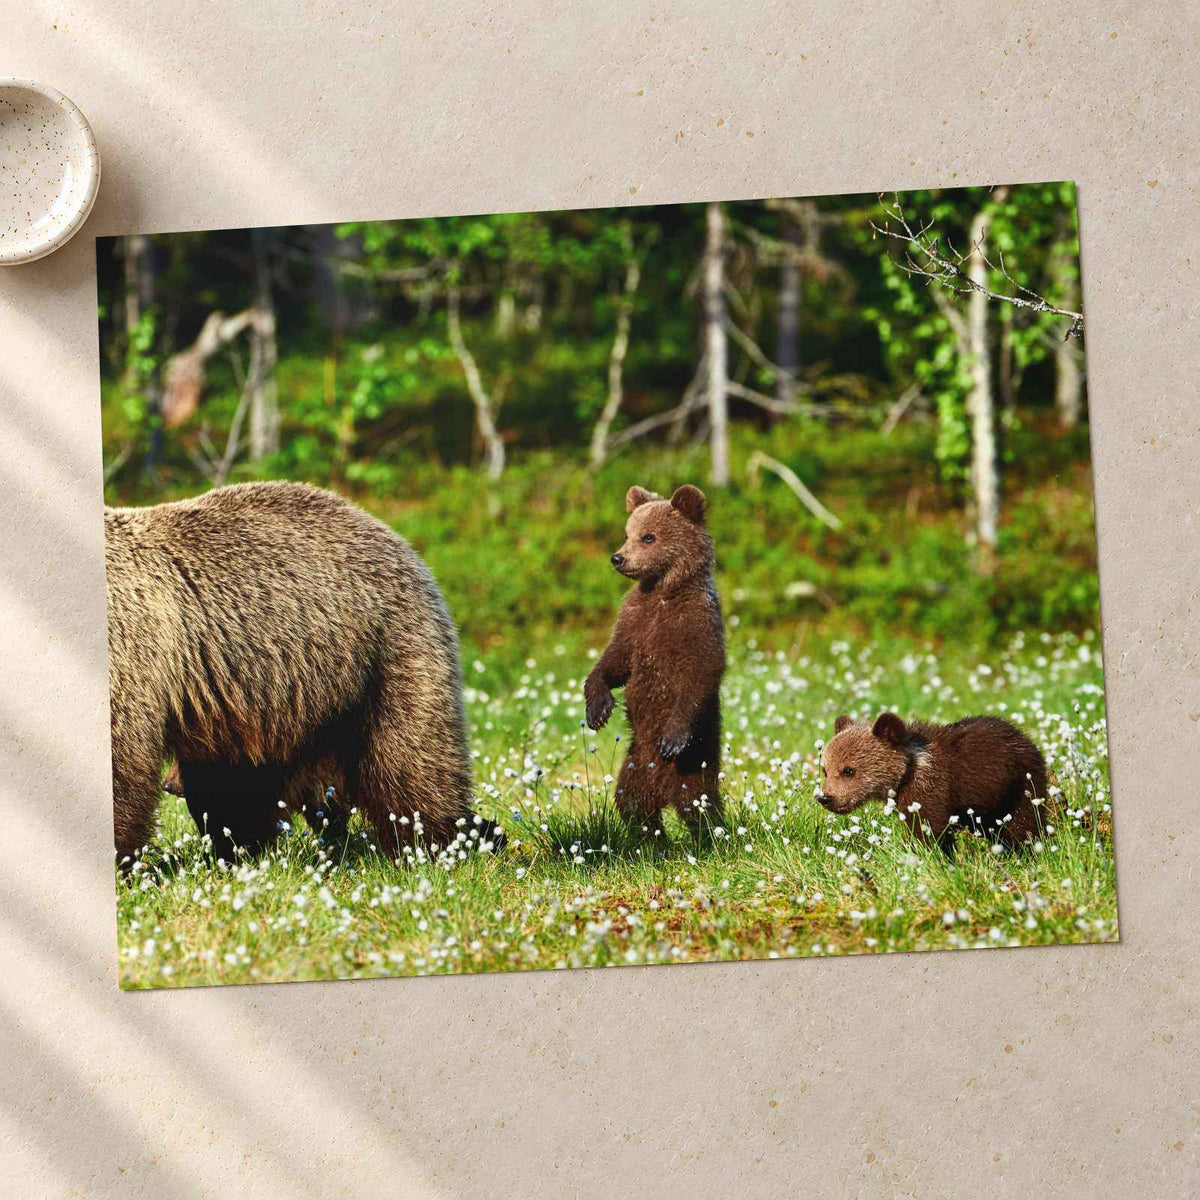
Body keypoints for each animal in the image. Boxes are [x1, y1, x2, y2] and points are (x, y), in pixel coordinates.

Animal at [105, 481, 501, 866]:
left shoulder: (129, 650)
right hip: (264, 699)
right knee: (233, 788)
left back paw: (446, 843)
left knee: (409, 766)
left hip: (387, 653)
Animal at [584, 484, 725, 830]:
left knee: (701, 807)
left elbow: (702, 671)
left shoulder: (695, 623)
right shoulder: (635, 621)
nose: (618, 558)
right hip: (634, 764)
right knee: (633, 805)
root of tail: (664, 791)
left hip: (695, 765)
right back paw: (650, 836)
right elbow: (615, 660)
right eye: (627, 533)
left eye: (649, 537)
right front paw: (598, 708)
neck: (663, 591)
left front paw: (672, 737)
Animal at [818, 712, 1051, 850]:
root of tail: (1024, 737)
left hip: (1020, 786)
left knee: (1024, 823)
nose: (826, 798)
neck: (908, 771)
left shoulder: (929, 791)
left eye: (848, 770)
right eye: (825, 770)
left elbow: (928, 829)